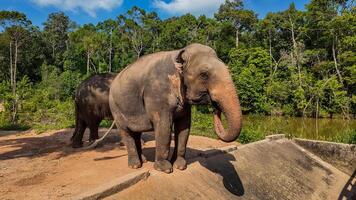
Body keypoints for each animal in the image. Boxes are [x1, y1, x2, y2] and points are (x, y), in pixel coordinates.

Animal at [108, 43, 242, 173]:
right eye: (204, 74)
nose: (215, 107)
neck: (180, 52)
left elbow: (184, 126)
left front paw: (180, 166)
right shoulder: (157, 93)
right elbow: (164, 126)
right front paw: (165, 169)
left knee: (136, 133)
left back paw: (143, 161)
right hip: (116, 108)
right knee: (126, 132)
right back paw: (135, 165)